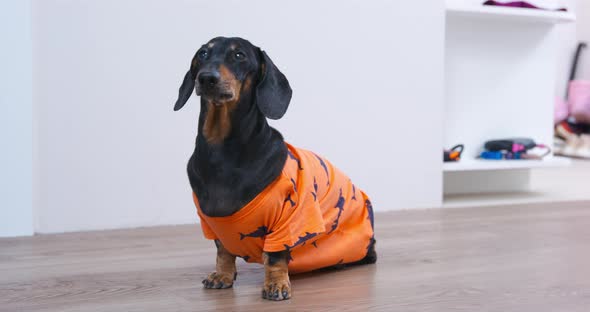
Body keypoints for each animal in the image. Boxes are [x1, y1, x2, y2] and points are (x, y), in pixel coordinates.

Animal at [176, 37, 376, 302]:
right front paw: (222, 275)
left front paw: (276, 284)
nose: (206, 78)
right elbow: (223, 251)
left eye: (239, 55)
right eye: (203, 54)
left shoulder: (287, 219)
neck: (222, 151)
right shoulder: (213, 224)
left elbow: (274, 256)